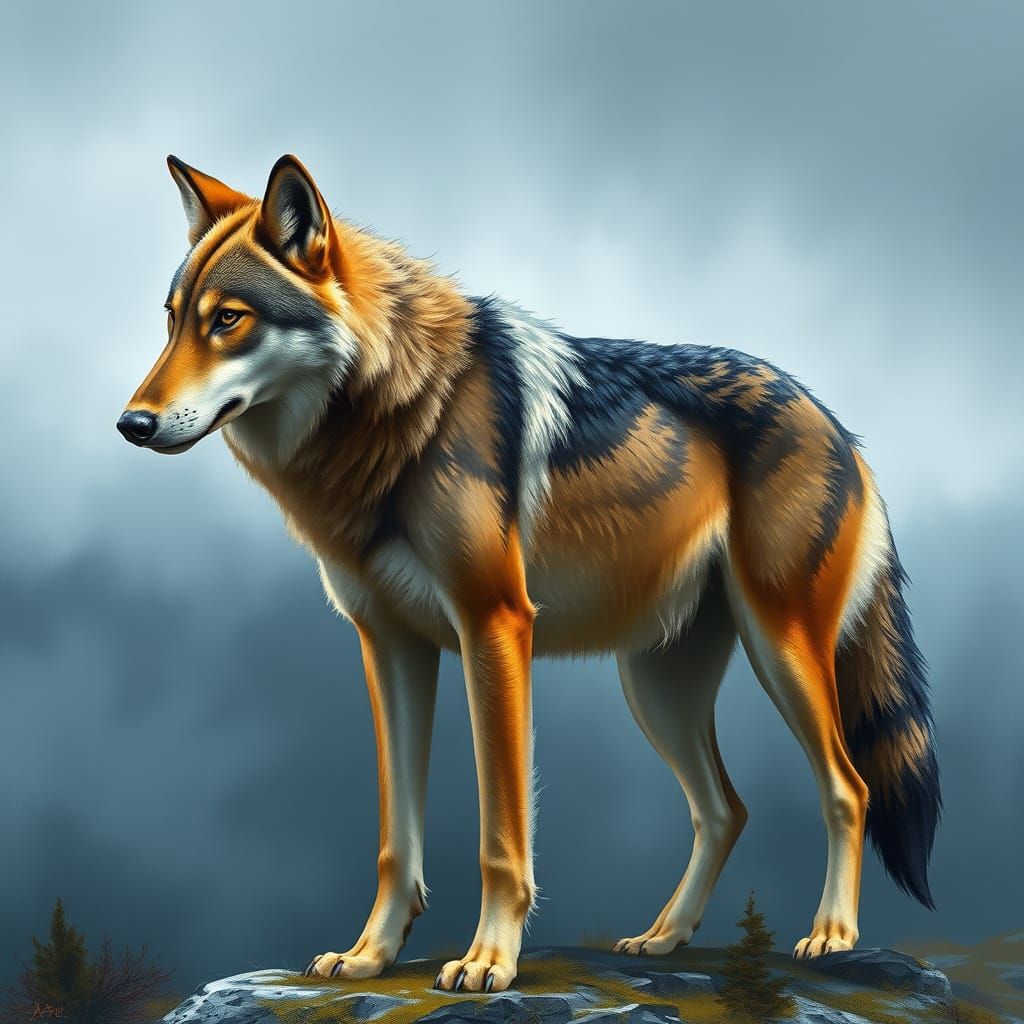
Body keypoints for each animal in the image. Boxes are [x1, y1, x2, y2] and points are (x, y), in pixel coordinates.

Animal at [118, 155, 939, 993]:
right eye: (172, 319)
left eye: (229, 320)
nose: (131, 424)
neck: (401, 414)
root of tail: (838, 423)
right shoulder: (389, 646)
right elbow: (396, 840)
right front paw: (370, 955)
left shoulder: (495, 626)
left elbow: (500, 836)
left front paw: (488, 960)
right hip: (656, 687)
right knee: (724, 809)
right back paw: (663, 938)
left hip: (779, 653)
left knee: (848, 788)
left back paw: (831, 935)